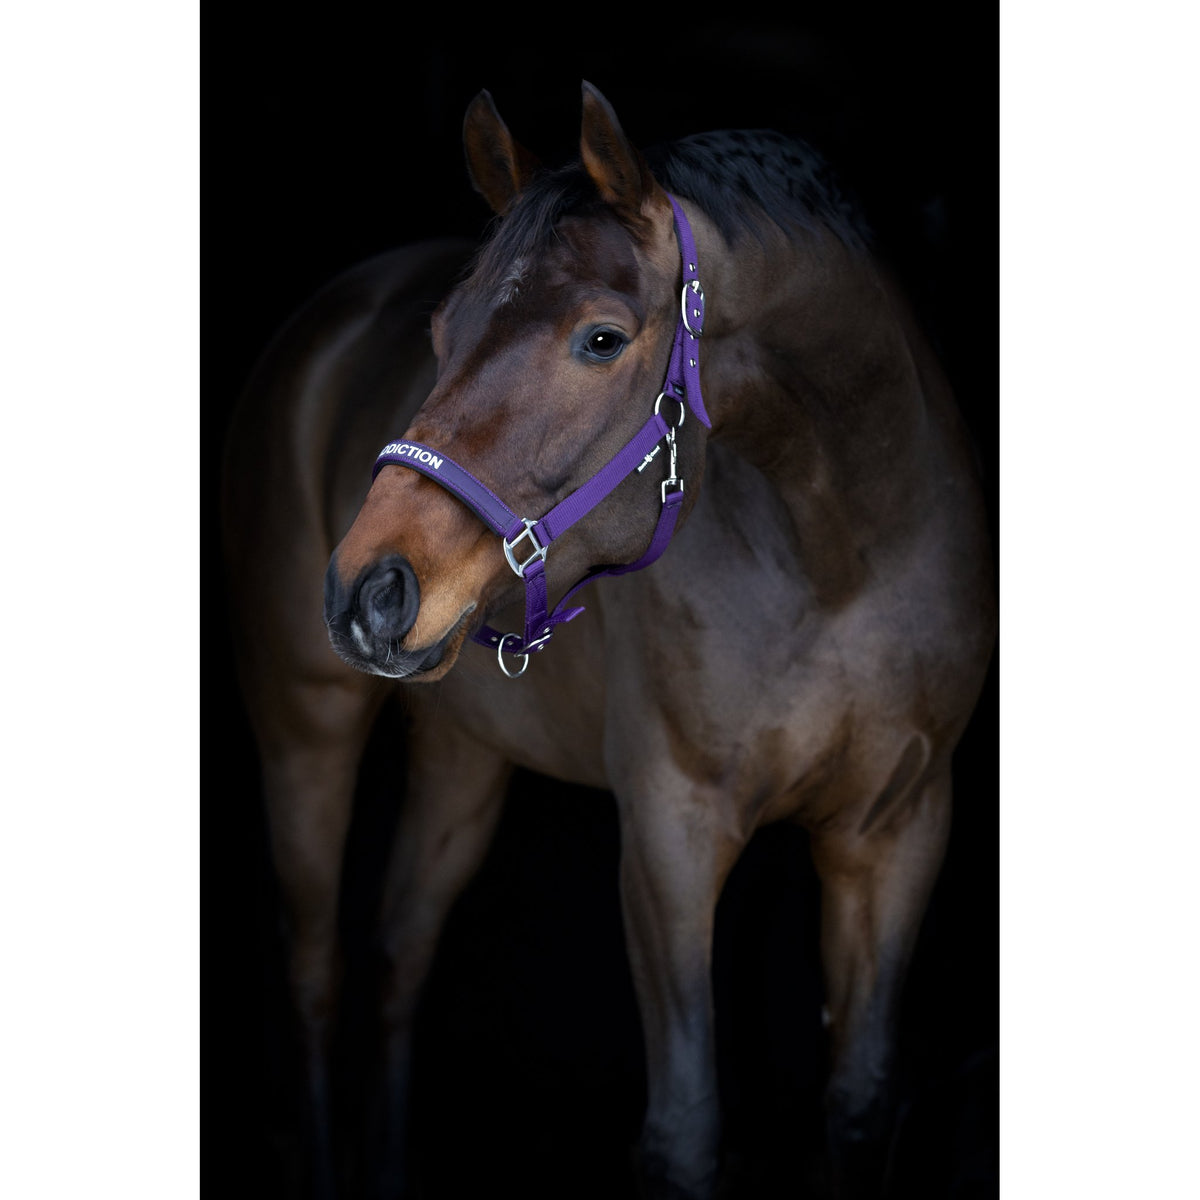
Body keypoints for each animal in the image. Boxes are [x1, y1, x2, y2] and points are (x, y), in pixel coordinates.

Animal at [222, 81, 995, 1200]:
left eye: (600, 339)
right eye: (444, 329)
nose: (367, 589)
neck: (842, 556)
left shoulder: (898, 830)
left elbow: (858, 1103)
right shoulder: (671, 832)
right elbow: (685, 1128)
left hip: (464, 753)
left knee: (399, 955)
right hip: (304, 729)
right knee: (317, 973)